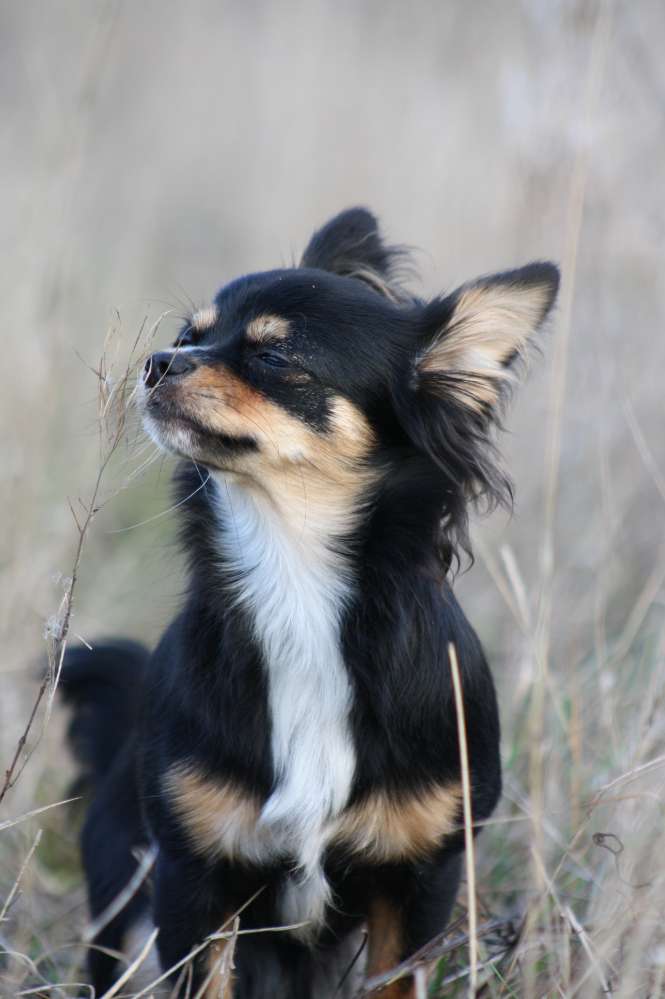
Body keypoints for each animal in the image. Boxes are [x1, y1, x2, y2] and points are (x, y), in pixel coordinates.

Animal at [59, 207, 556, 996]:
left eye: (274, 356)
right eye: (190, 333)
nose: (159, 359)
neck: (295, 584)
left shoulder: (420, 881)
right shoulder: (192, 878)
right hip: (130, 919)